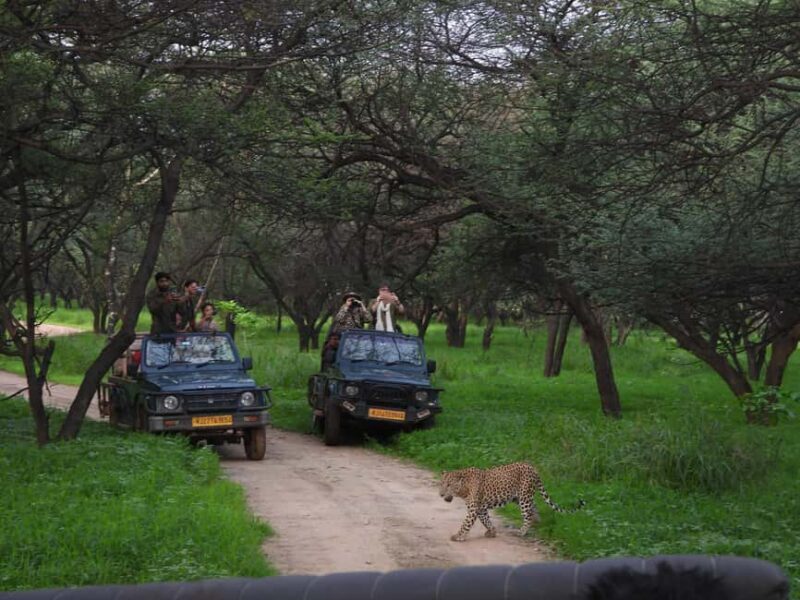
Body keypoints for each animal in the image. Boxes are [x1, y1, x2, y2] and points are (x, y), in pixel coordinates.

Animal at [439, 462, 585, 542]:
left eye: (449, 485)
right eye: (441, 484)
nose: (441, 494)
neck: (463, 488)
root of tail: (533, 468)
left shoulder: (474, 509)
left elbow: (466, 524)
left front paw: (458, 536)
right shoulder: (480, 509)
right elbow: (486, 521)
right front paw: (492, 532)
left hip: (524, 497)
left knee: (528, 515)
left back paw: (522, 531)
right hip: (520, 497)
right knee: (534, 508)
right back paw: (537, 523)